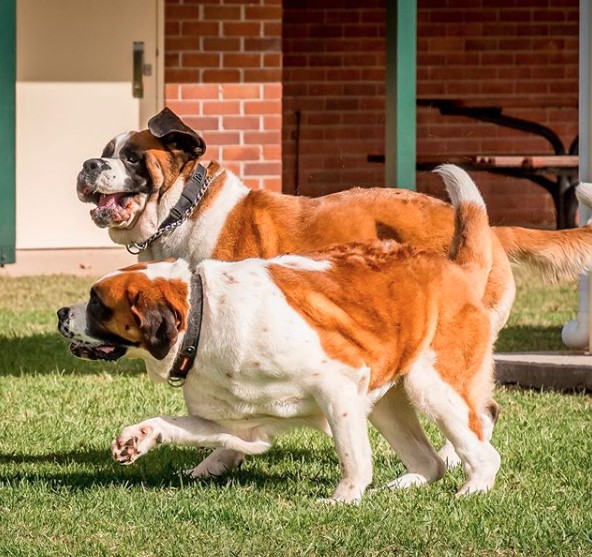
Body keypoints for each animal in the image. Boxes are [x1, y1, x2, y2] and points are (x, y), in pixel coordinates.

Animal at [59, 166, 508, 504]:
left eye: (97, 304)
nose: (62, 313)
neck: (203, 317)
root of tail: (454, 267)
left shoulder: (337, 387)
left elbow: (352, 454)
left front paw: (344, 498)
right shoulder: (242, 426)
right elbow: (178, 425)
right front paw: (137, 438)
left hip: (434, 387)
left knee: (482, 449)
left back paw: (471, 490)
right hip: (388, 403)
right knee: (428, 462)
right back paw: (402, 485)